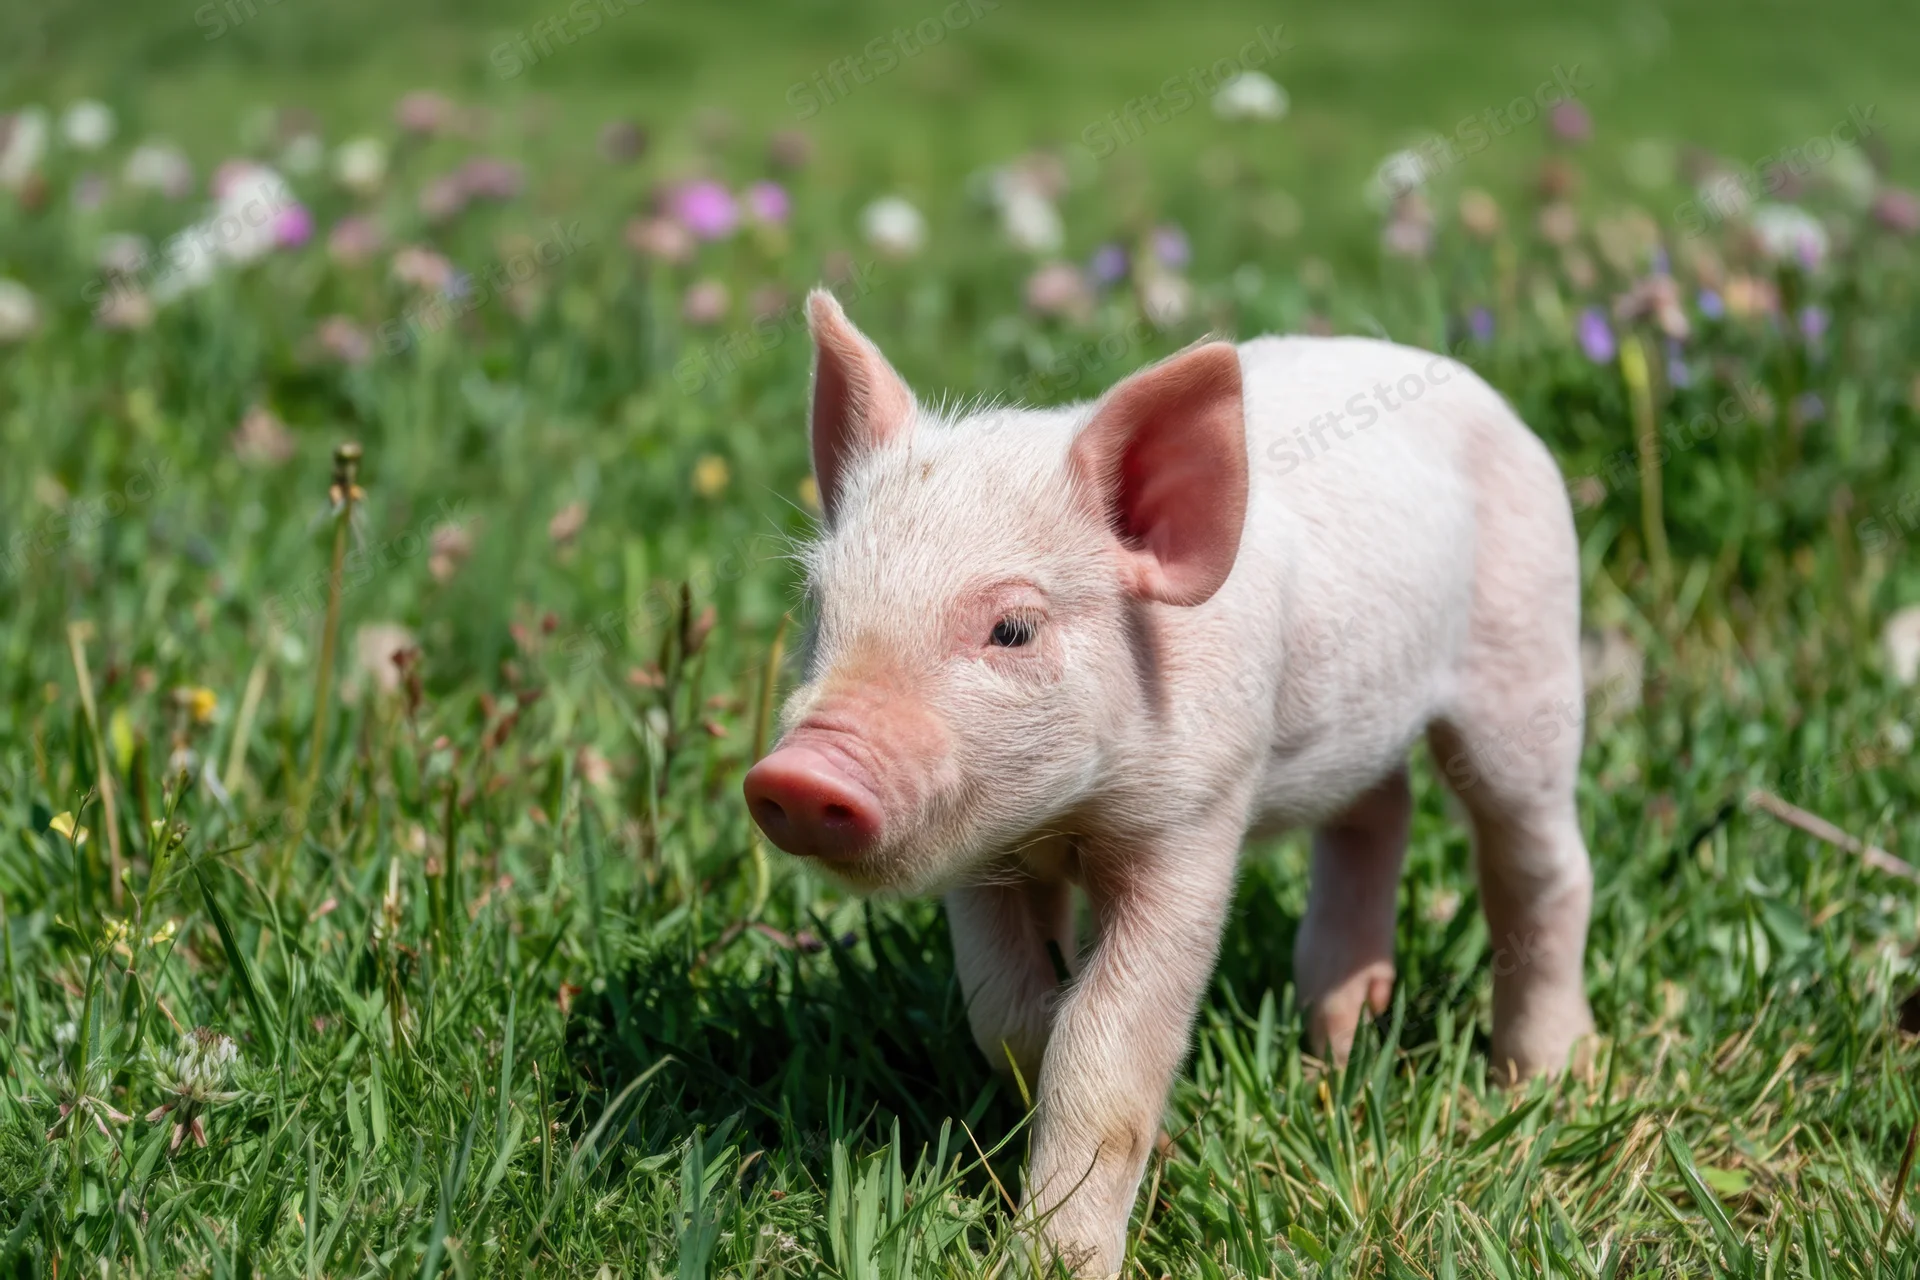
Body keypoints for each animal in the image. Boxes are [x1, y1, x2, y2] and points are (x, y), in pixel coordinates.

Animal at [743, 292, 1596, 1276]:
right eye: (820, 607)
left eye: (1013, 629)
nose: (800, 772)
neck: (1071, 818)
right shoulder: (986, 856)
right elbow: (1008, 1014)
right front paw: (1140, 1126)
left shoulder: (1196, 815)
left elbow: (1105, 1048)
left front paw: (1056, 1261)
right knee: (1380, 811)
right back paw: (1337, 1045)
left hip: (1528, 654)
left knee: (1541, 859)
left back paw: (1542, 1081)